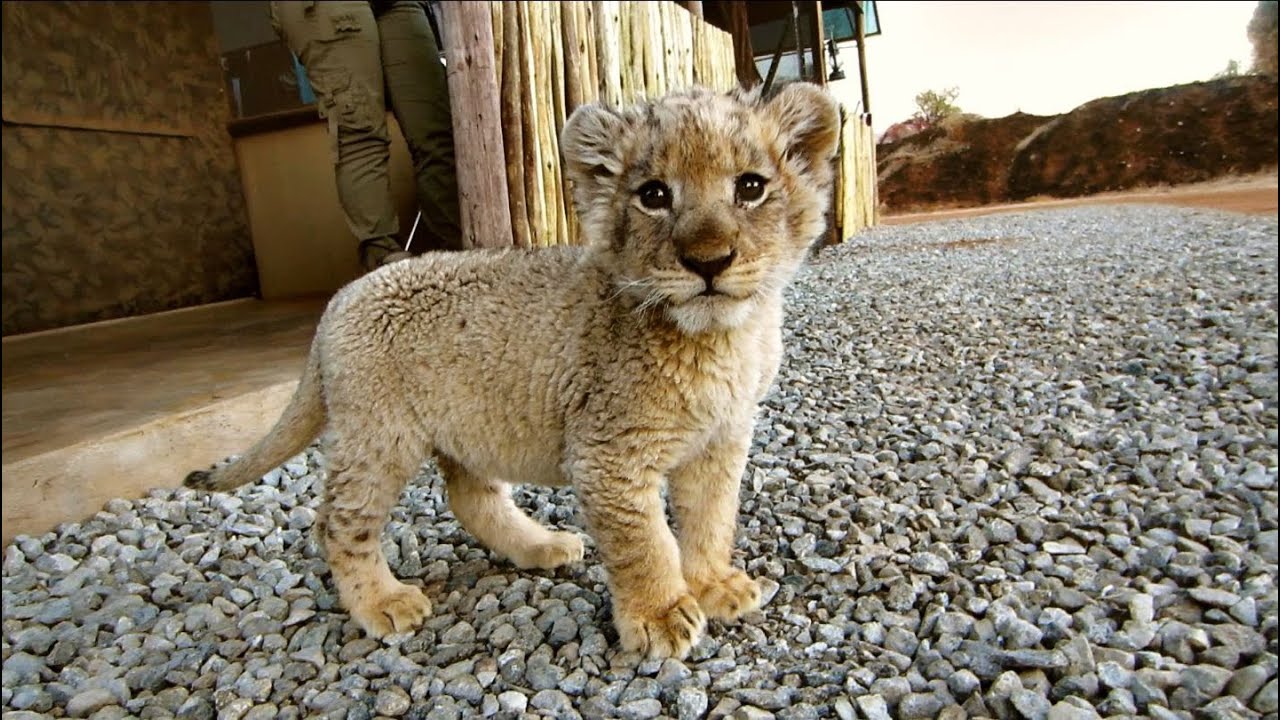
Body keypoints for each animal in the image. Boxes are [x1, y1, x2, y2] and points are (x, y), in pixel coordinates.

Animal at [185, 82, 840, 659]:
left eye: (751, 187)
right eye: (654, 195)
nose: (709, 262)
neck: (723, 340)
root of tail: (339, 299)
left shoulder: (721, 440)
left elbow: (711, 519)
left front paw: (714, 585)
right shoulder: (607, 452)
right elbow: (645, 542)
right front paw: (659, 616)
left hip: (467, 425)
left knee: (469, 497)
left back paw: (541, 546)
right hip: (379, 435)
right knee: (339, 521)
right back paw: (383, 602)